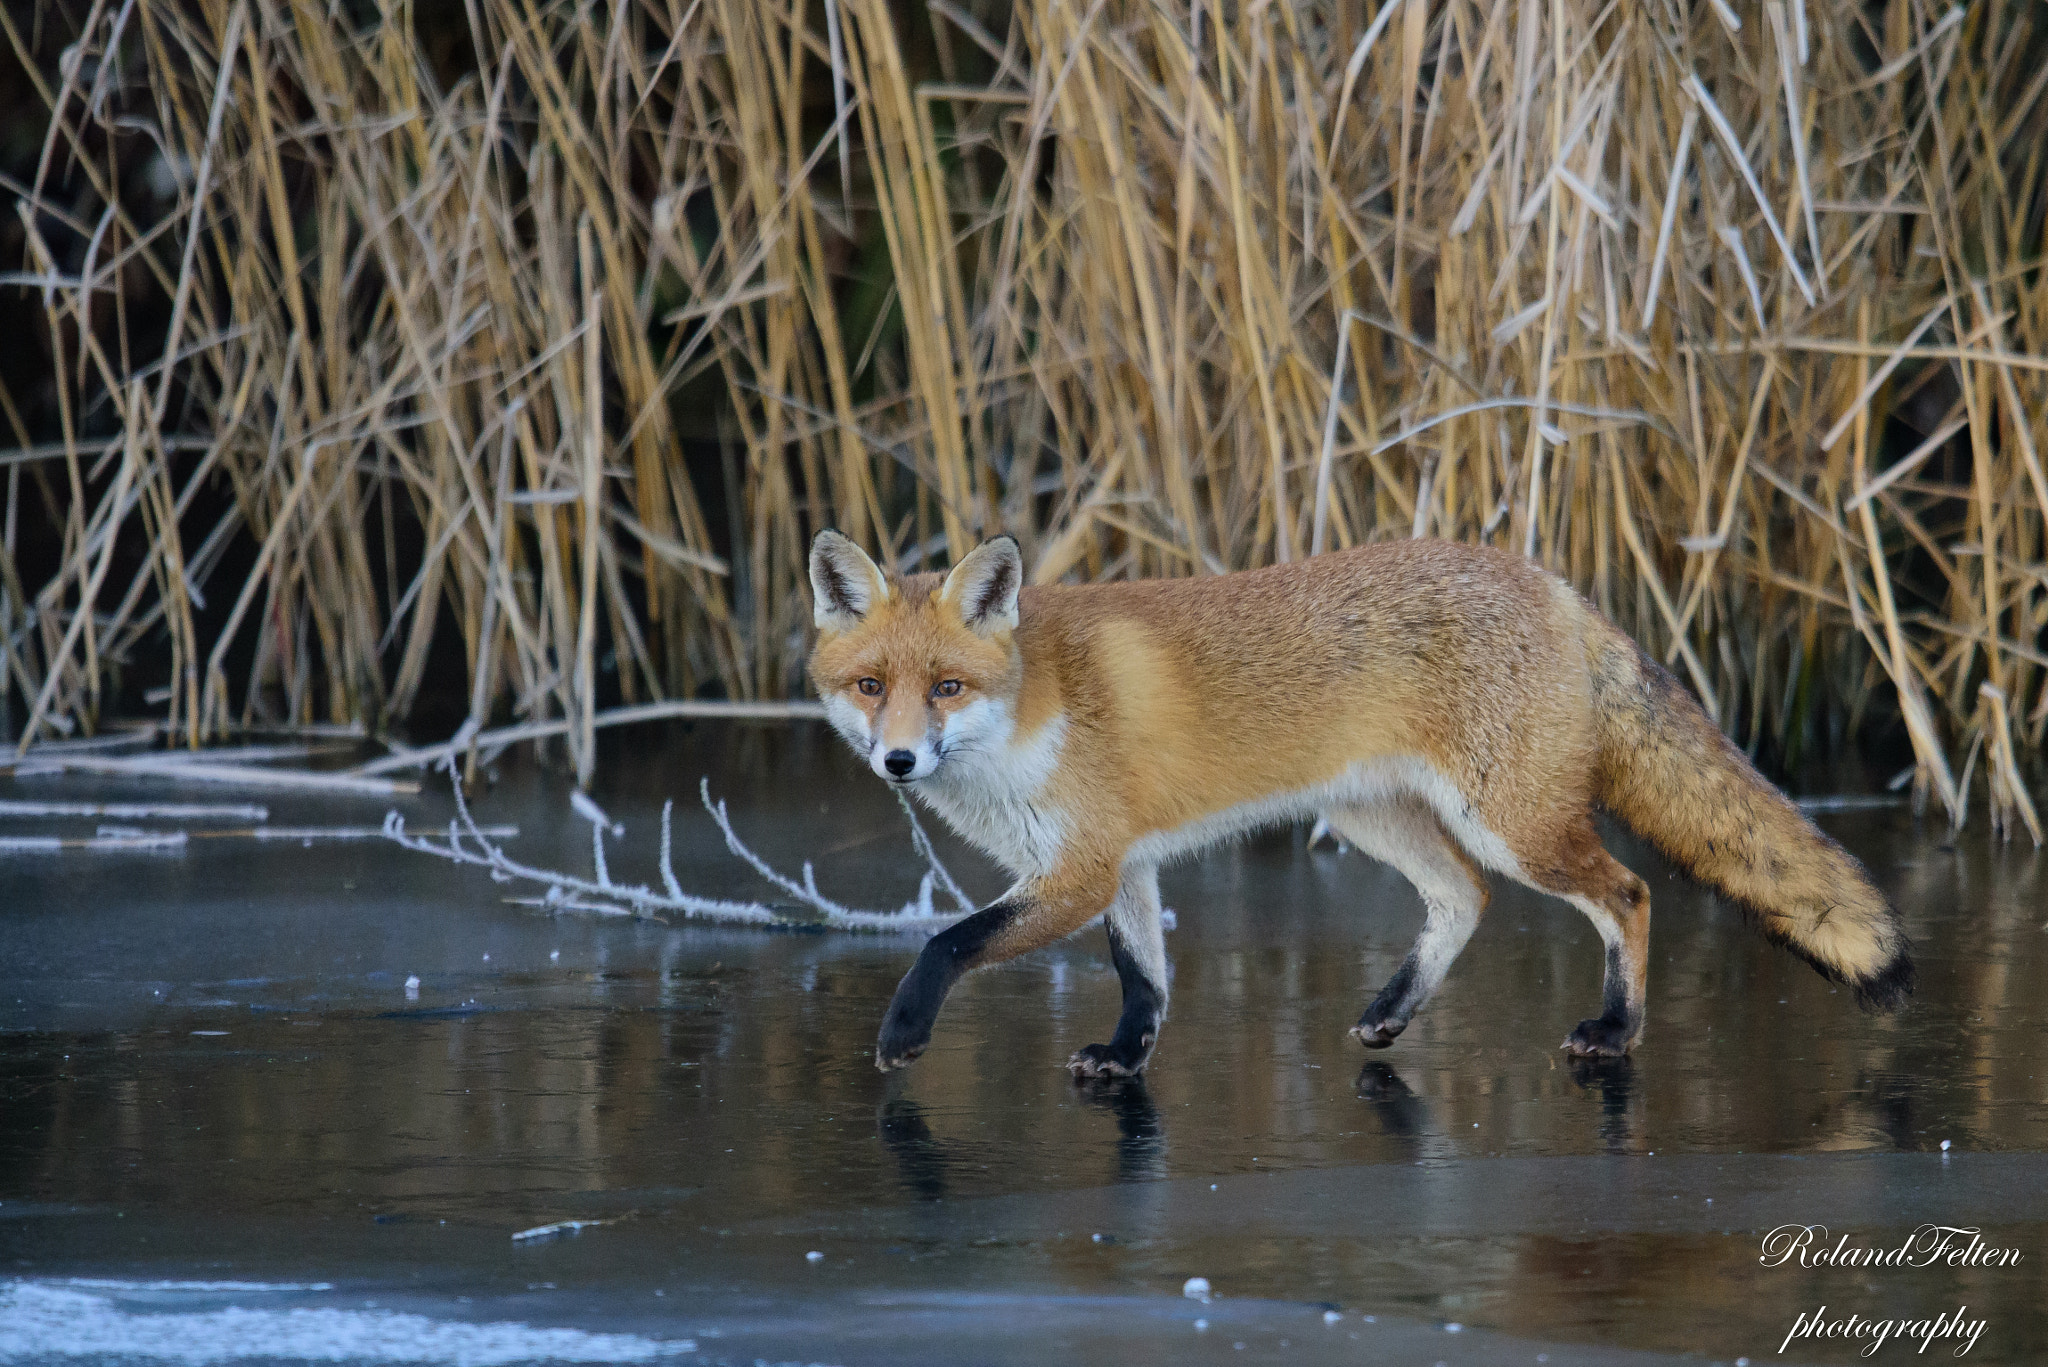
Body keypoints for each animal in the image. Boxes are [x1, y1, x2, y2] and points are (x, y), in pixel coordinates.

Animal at [806, 528, 1908, 1073]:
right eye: (871, 685)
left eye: (947, 687)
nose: (899, 760)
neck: (1032, 708)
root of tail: (1552, 582)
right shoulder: (1120, 860)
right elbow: (1144, 977)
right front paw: (1124, 1055)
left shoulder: (1077, 868)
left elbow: (946, 939)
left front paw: (901, 1035)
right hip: (1389, 820)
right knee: (1464, 898)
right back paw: (1390, 1013)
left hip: (1509, 823)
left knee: (1629, 895)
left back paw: (1614, 1032)